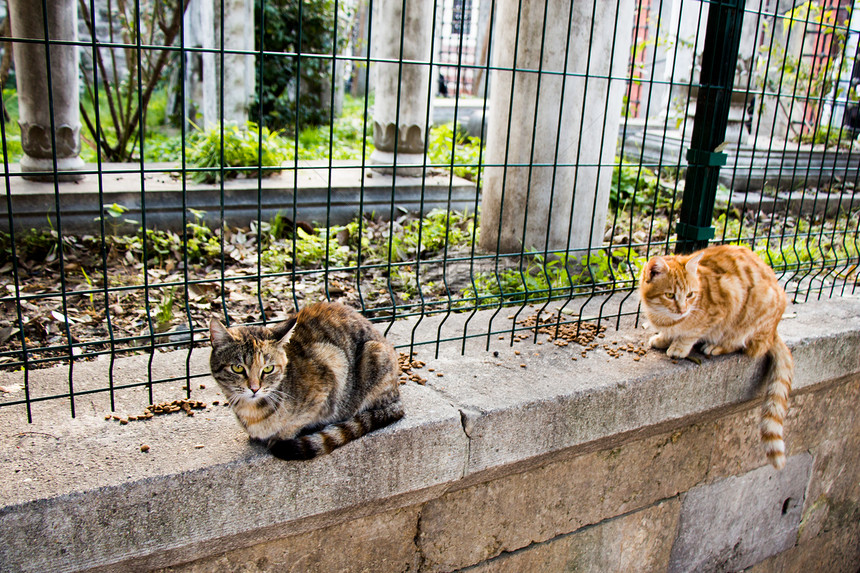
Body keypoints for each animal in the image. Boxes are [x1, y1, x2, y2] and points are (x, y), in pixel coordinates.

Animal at [212, 302, 406, 458]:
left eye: (268, 369)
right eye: (237, 368)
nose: (254, 388)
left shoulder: (329, 370)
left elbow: (297, 422)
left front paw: (279, 437)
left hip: (373, 353)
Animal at [640, 244, 792, 466]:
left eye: (690, 295)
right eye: (669, 295)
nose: (682, 309)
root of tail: (774, 332)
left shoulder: (725, 302)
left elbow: (692, 333)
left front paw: (679, 346)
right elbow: (670, 332)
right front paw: (663, 338)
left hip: (752, 314)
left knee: (744, 344)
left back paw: (715, 347)